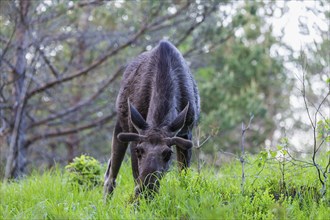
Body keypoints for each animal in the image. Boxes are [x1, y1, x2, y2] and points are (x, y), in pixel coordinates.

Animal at [104, 40, 200, 199]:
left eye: (168, 153)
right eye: (139, 151)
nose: (147, 189)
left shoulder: (187, 132)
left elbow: (183, 176)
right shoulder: (135, 135)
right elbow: (135, 175)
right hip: (121, 125)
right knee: (111, 175)